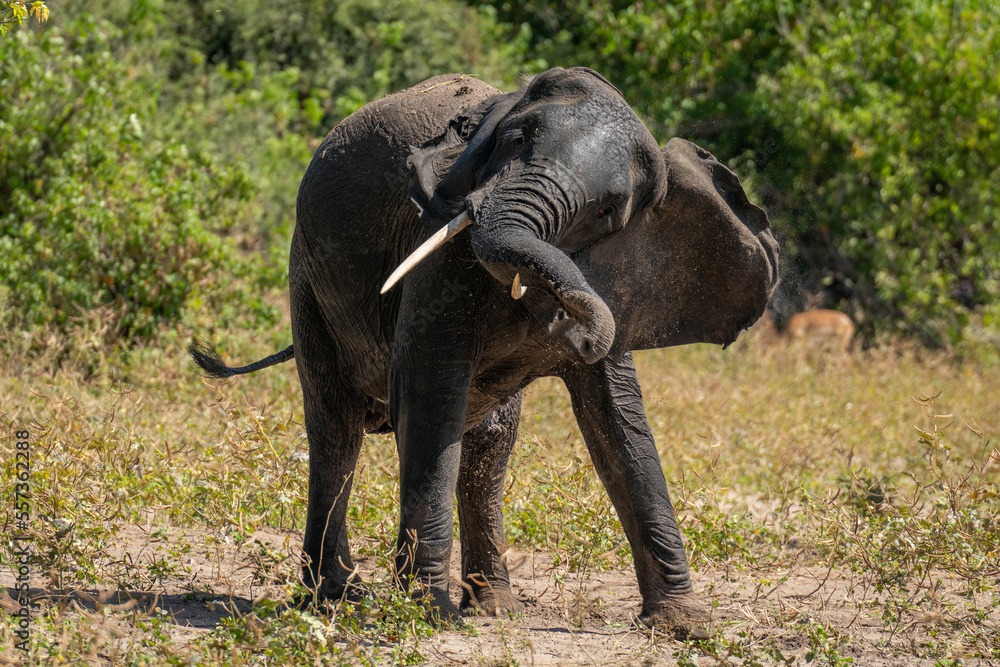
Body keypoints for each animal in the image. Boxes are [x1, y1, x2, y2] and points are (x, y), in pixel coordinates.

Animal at [189, 67, 779, 638]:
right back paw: (336, 597)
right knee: (337, 431)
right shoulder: (437, 245)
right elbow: (429, 394)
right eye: (516, 140)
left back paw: (492, 608)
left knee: (488, 445)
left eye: (608, 213)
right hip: (307, 282)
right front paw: (427, 616)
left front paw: (686, 626)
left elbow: (619, 423)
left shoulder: (615, 283)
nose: (570, 327)